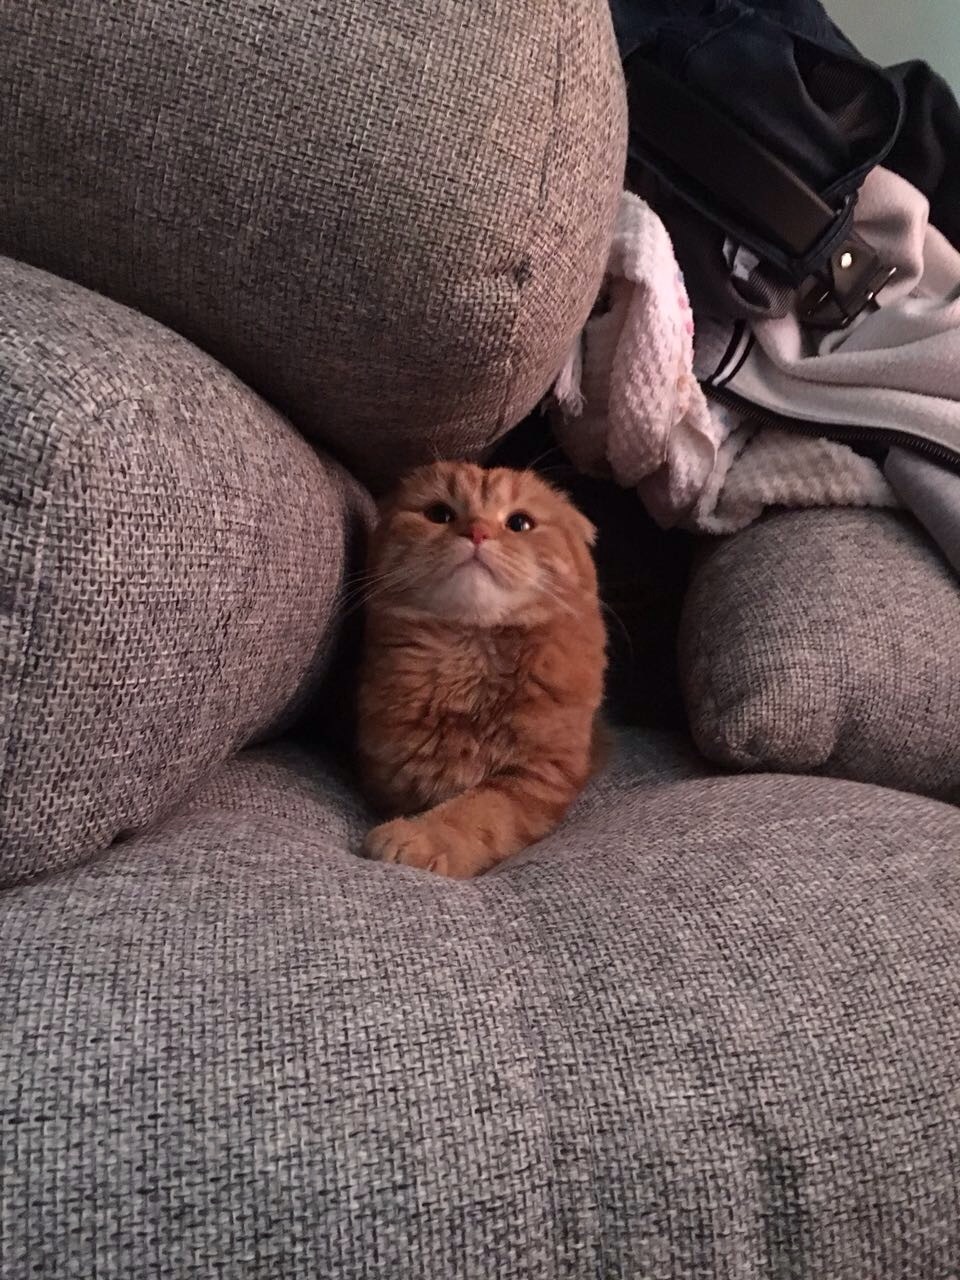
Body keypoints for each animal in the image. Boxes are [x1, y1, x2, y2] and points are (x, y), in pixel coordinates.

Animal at [358, 460, 604, 880]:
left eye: (519, 523)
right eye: (440, 515)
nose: (477, 532)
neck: (469, 655)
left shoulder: (537, 776)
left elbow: (474, 811)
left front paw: (419, 839)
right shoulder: (391, 770)